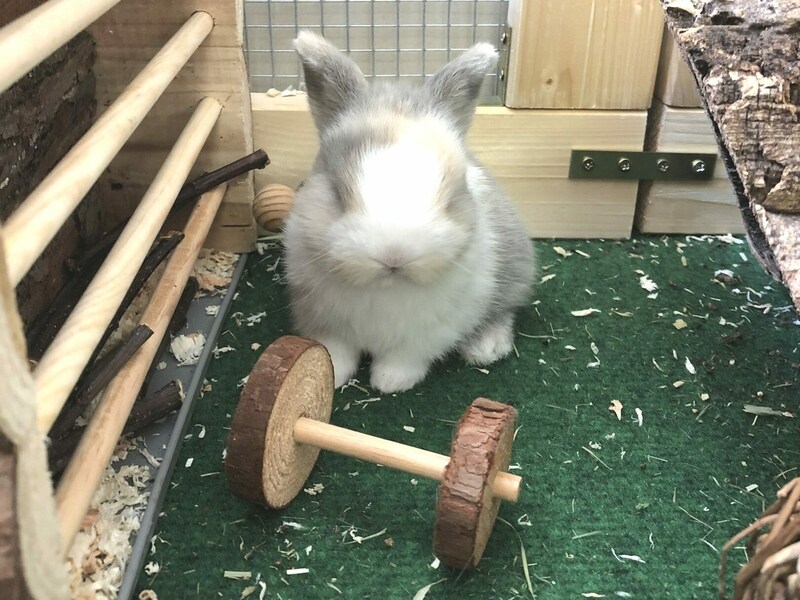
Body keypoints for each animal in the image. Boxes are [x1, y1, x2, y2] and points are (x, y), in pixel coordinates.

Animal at [284, 31, 536, 394]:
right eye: (336, 192)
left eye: (452, 194)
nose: (393, 255)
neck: (387, 289)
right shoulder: (321, 319)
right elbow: (336, 351)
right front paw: (332, 377)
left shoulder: (429, 333)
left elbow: (406, 357)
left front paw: (389, 382)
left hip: (513, 271)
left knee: (504, 309)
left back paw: (486, 347)